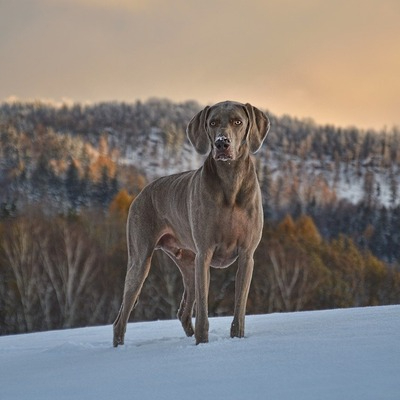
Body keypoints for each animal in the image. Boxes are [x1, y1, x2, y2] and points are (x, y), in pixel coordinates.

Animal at [113, 101, 268, 346]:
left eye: (238, 121)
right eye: (212, 122)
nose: (222, 143)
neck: (230, 181)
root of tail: (141, 192)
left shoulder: (247, 255)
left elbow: (239, 311)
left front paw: (237, 338)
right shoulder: (205, 254)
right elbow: (203, 313)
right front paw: (202, 344)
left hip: (188, 262)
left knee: (183, 312)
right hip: (141, 260)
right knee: (121, 318)